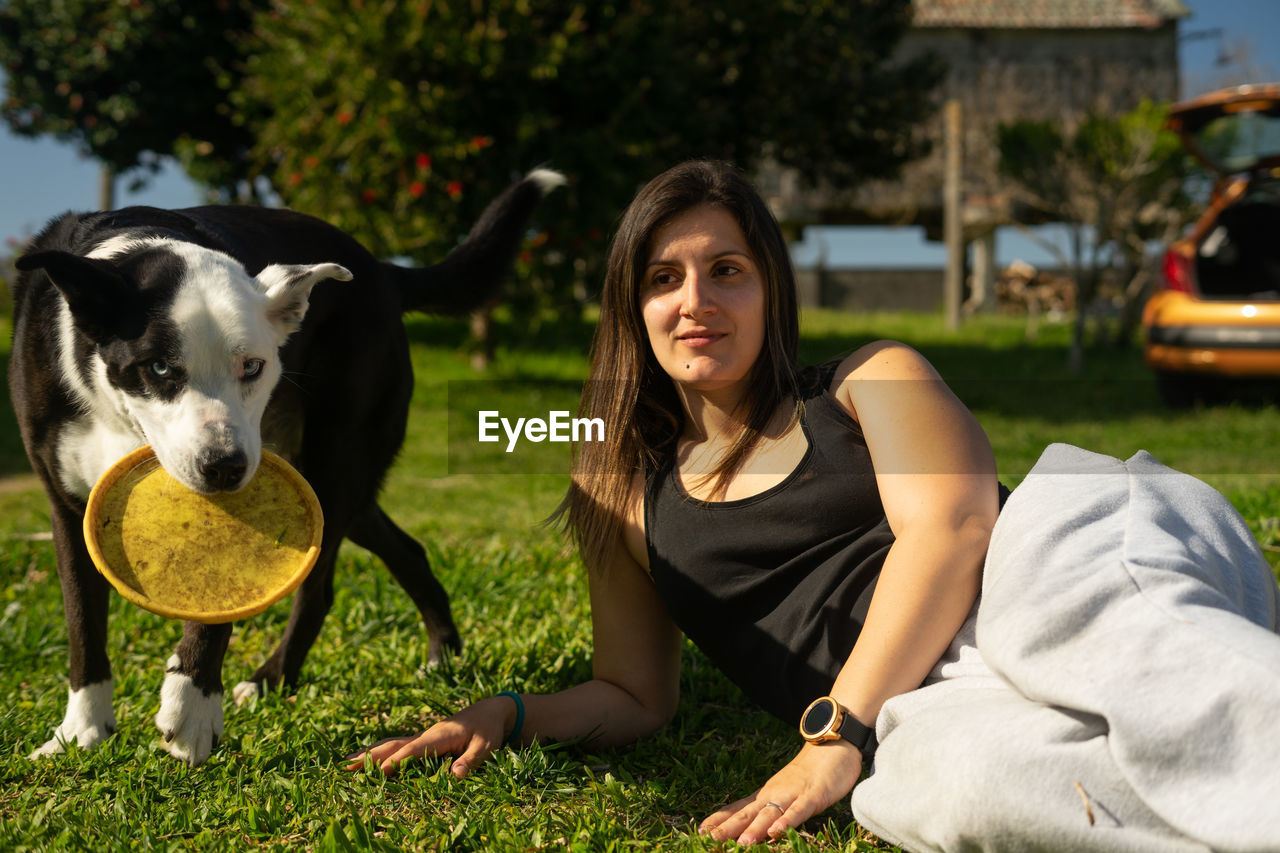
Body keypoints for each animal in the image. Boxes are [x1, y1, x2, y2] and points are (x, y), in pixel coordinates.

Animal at [8, 167, 560, 763]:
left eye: (253, 366)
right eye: (158, 368)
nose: (224, 466)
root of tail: (379, 269)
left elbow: (215, 609)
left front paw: (191, 708)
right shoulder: (67, 507)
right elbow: (83, 625)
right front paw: (80, 733)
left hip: (332, 462)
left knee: (318, 588)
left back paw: (271, 679)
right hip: (332, 479)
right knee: (404, 546)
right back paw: (443, 657)